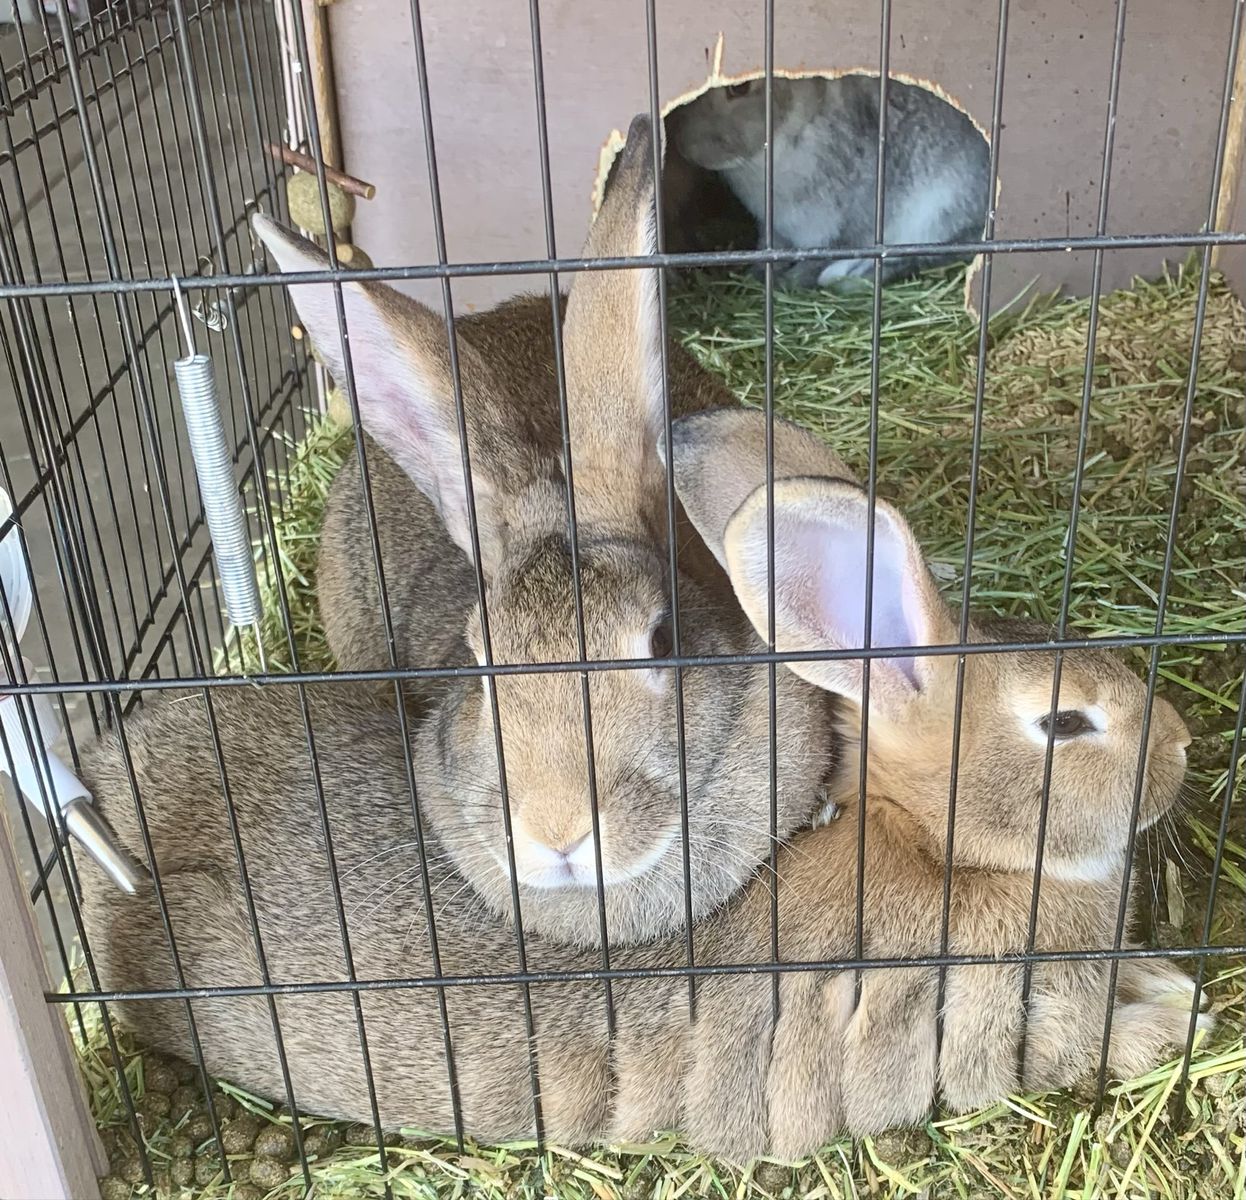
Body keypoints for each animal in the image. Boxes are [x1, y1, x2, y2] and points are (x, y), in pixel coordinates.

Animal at [75, 410, 1206, 1161]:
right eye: (1067, 723)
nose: (1186, 750)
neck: (935, 840)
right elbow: (1089, 1044)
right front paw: (1183, 1022)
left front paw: (1180, 987)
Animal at [666, 74, 990, 289]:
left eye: (739, 87)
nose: (685, 147)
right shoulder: (775, 229)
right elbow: (769, 249)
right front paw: (758, 274)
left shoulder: (850, 227)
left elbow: (820, 258)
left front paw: (789, 283)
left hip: (939, 210)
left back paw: (849, 276)